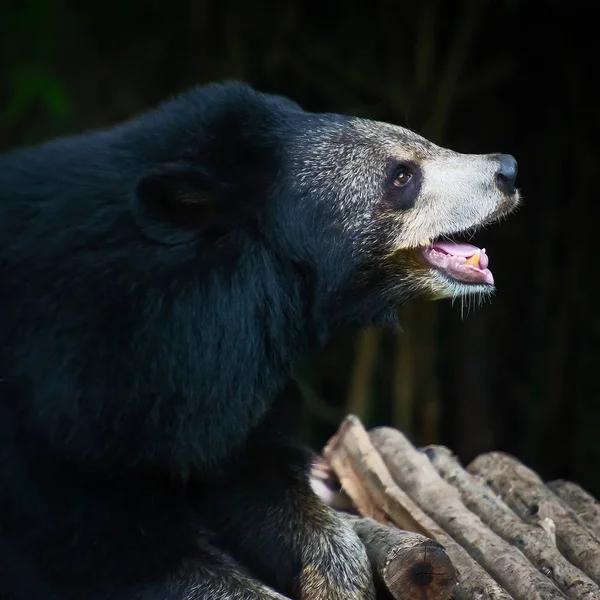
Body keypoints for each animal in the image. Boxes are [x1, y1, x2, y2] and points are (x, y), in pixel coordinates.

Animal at [0, 81, 516, 600]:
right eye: (402, 176)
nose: (508, 170)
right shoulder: (62, 425)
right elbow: (106, 554)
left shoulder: (218, 392)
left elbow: (257, 479)